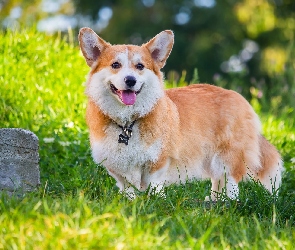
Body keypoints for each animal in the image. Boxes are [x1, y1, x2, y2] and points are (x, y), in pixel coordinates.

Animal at [79, 27, 284, 199]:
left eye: (140, 66)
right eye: (115, 65)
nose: (130, 80)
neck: (128, 123)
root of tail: (238, 97)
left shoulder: (158, 162)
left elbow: (154, 185)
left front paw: (156, 202)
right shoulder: (118, 168)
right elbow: (128, 189)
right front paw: (130, 202)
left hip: (228, 156)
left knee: (231, 181)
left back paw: (229, 203)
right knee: (218, 181)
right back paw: (215, 201)